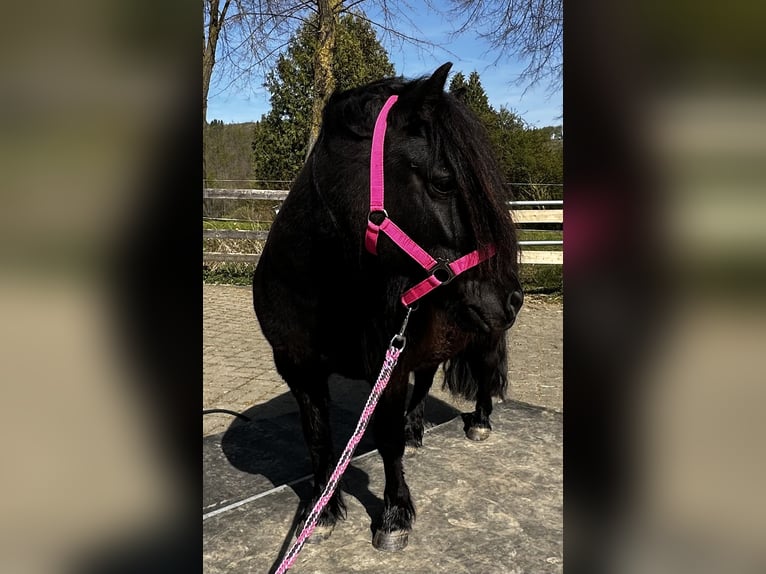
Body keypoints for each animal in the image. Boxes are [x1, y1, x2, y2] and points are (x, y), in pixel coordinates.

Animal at [252, 62, 524, 551]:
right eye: (443, 181)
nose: (512, 296)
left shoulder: (387, 369)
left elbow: (387, 438)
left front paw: (394, 516)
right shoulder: (298, 369)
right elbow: (318, 436)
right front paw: (321, 512)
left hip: (484, 338)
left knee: (485, 376)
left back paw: (479, 422)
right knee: (428, 376)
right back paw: (418, 427)